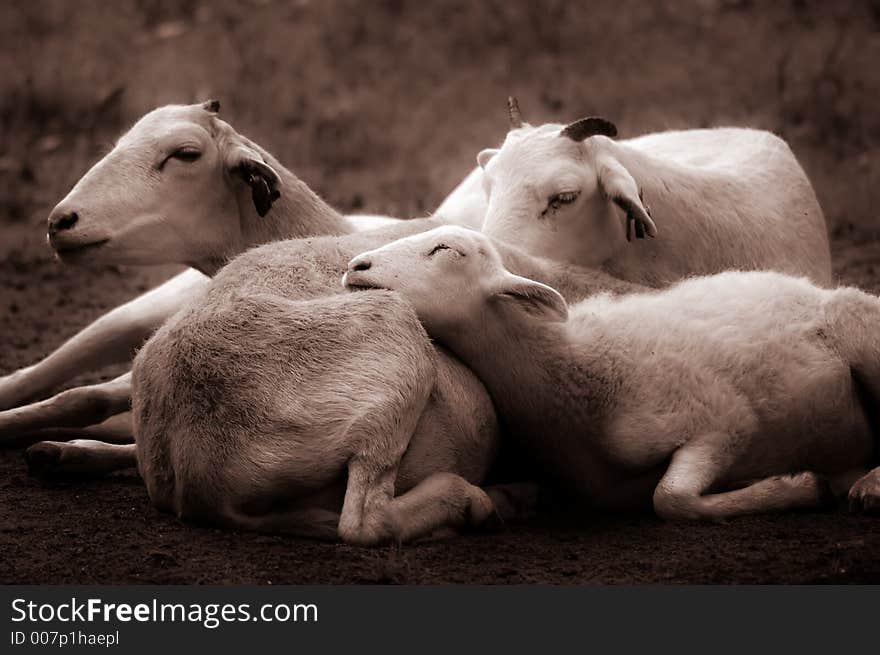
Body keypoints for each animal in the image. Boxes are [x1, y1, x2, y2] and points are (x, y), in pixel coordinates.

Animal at [342, 228, 880, 520]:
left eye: (446, 250)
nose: (356, 265)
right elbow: (666, 497)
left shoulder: (723, 421)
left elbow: (671, 498)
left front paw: (800, 487)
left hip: (862, 332)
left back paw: (867, 487)